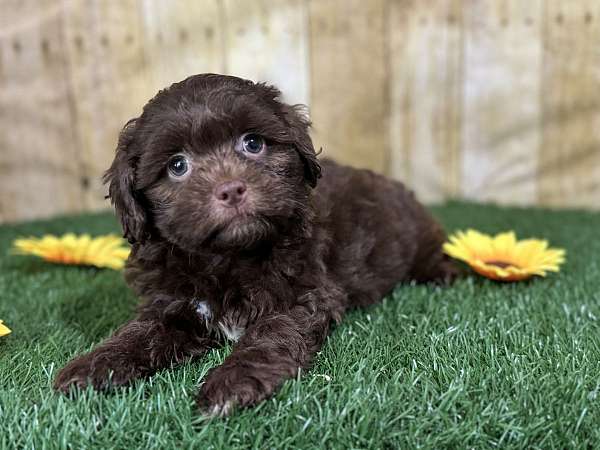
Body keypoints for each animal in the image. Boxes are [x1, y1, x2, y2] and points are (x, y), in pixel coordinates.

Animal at [54, 73, 458, 414]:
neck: (228, 259)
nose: (231, 188)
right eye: (177, 165)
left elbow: (270, 334)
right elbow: (141, 332)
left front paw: (233, 382)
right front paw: (96, 365)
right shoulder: (171, 300)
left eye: (253, 143)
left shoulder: (305, 293)